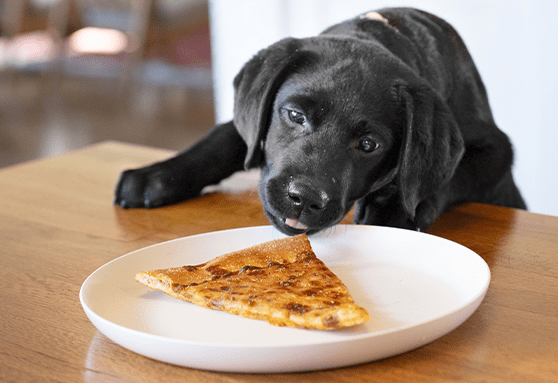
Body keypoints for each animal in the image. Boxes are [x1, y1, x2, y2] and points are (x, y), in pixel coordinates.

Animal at [115, 9, 528, 236]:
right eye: (295, 116)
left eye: (368, 145)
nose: (303, 199)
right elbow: (227, 135)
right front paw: (157, 174)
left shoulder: (497, 150)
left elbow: (445, 181)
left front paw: (393, 209)